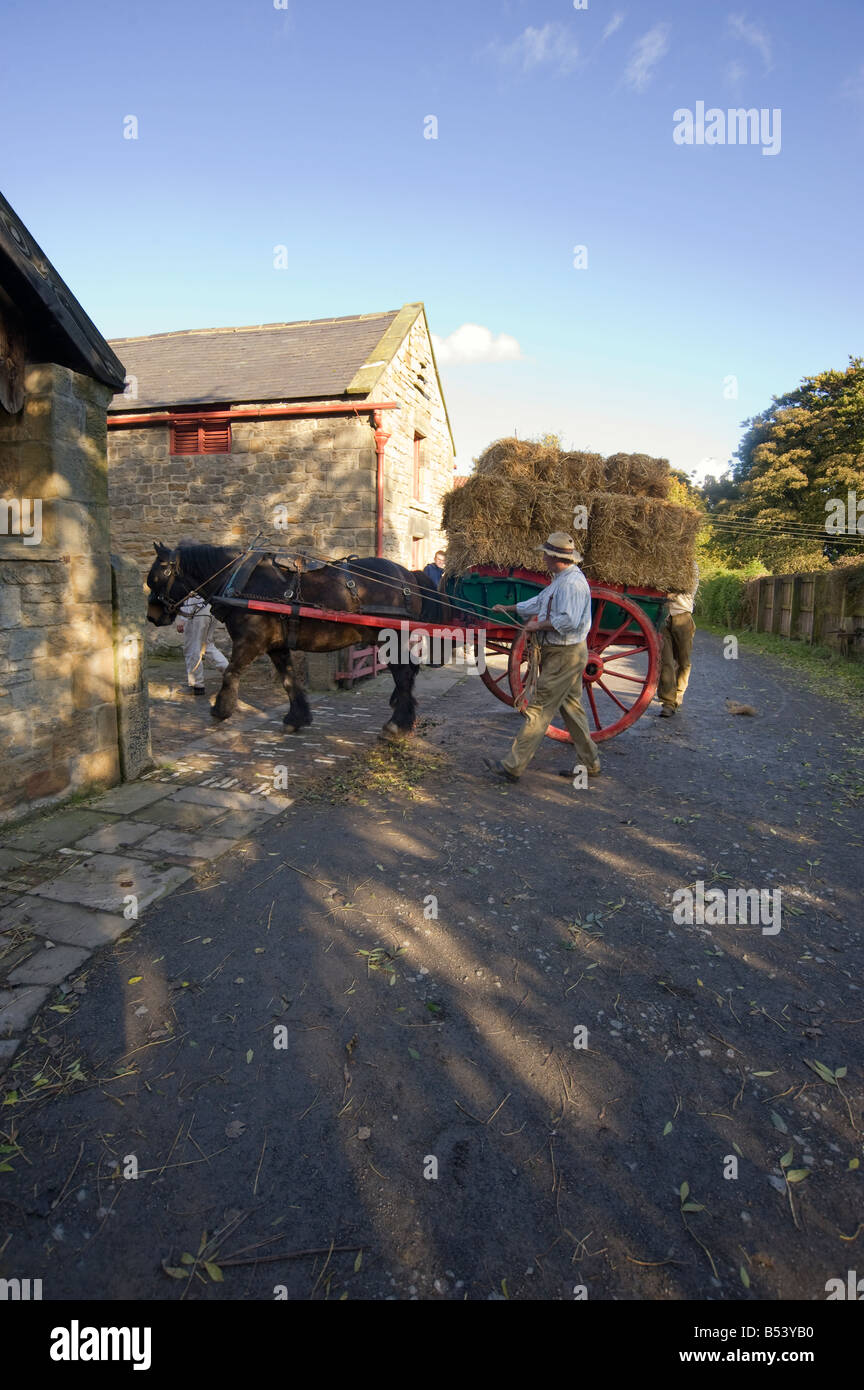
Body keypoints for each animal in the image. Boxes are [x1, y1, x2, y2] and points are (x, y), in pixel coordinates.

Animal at [145, 542, 450, 739]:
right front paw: (297, 718)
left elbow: (231, 672)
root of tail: (407, 575)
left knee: (404, 674)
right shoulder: (277, 646)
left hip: (390, 639)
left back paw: (397, 724)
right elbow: (289, 679)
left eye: (156, 577)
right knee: (407, 673)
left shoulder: (250, 642)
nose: (152, 616)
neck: (240, 582)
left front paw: (221, 709)